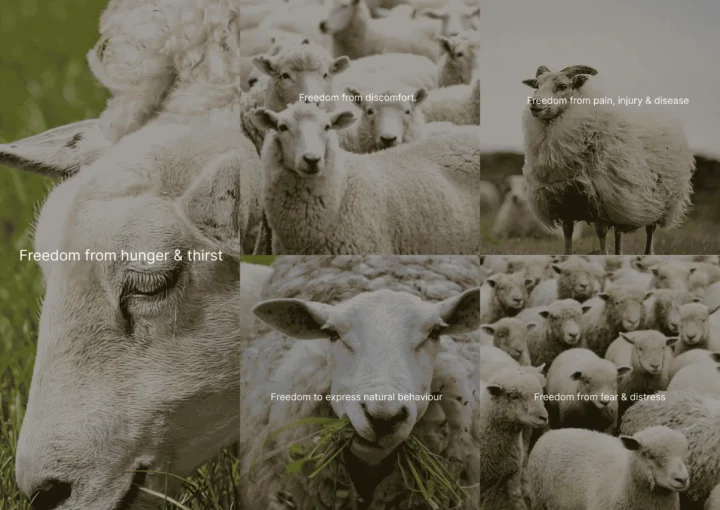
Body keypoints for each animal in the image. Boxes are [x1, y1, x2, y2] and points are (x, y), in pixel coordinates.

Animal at [521, 65, 695, 255]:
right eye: (536, 85)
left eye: (562, 86)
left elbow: (601, 232)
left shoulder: (601, 200)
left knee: (651, 228)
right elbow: (567, 232)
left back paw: (648, 253)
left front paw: (603, 254)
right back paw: (619, 253)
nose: (534, 102)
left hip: (659, 199)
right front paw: (568, 254)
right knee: (619, 231)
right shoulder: (564, 200)